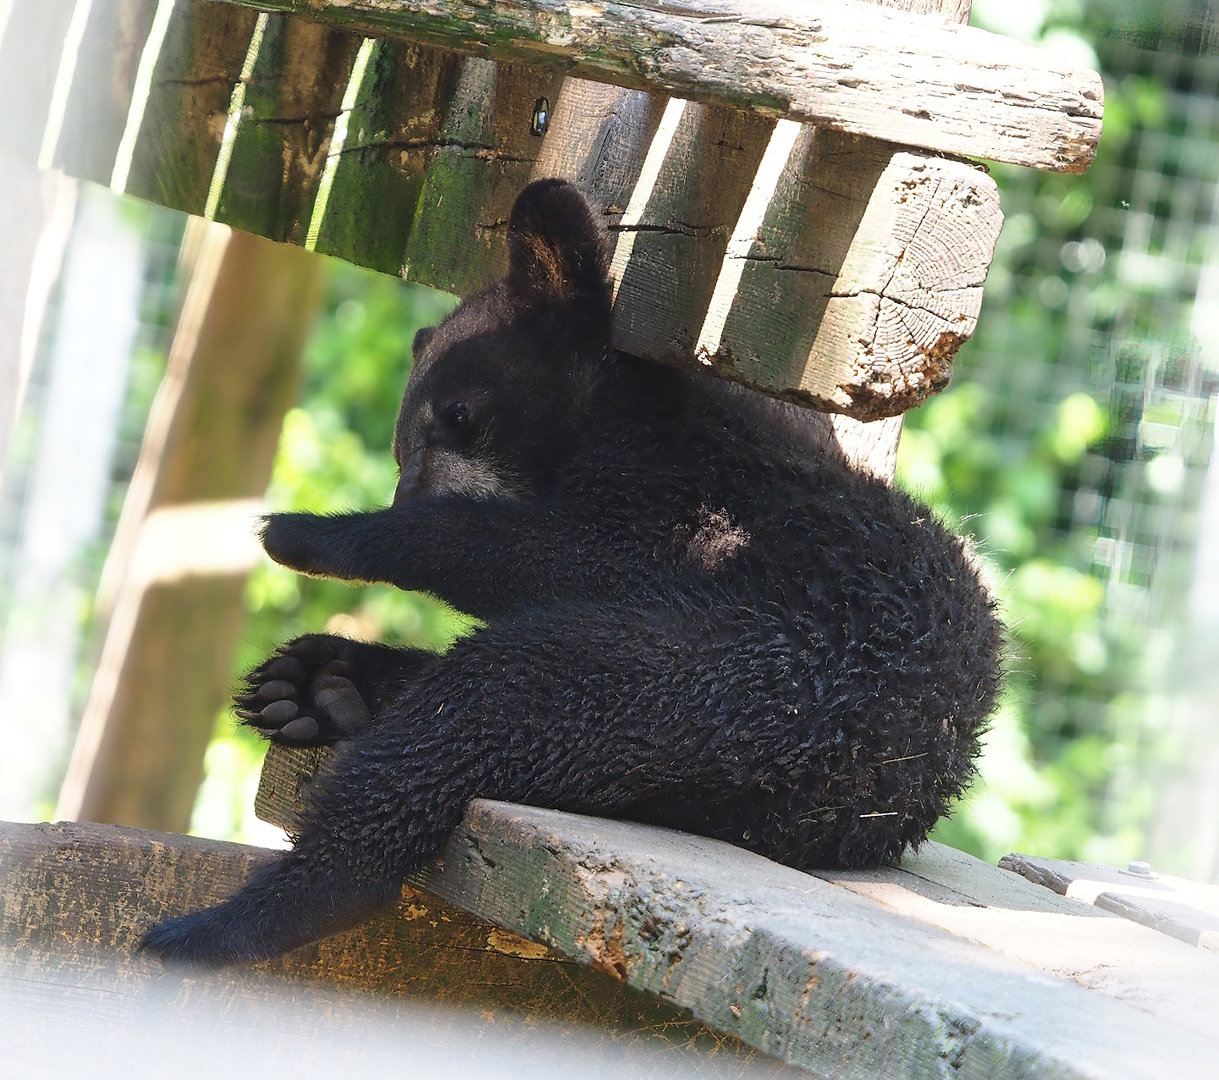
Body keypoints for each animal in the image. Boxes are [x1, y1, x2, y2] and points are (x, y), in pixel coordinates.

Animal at [140, 178, 1003, 967]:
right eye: (397, 447)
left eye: (458, 416)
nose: (405, 491)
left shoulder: (685, 502)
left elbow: (566, 553)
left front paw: (317, 532)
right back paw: (323, 687)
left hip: (735, 688)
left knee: (483, 709)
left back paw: (223, 920)